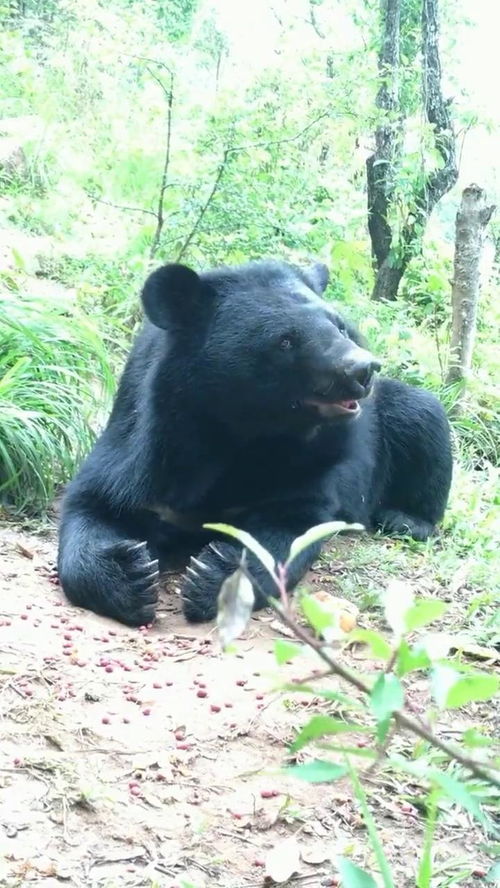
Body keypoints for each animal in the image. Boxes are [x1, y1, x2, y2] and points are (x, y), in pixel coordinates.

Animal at [57, 260, 454, 628]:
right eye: (285, 340)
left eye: (339, 325)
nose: (362, 369)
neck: (245, 431)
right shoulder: (142, 443)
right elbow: (94, 503)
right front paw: (129, 576)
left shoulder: (315, 464)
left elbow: (291, 524)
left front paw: (213, 575)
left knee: (422, 413)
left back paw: (405, 518)